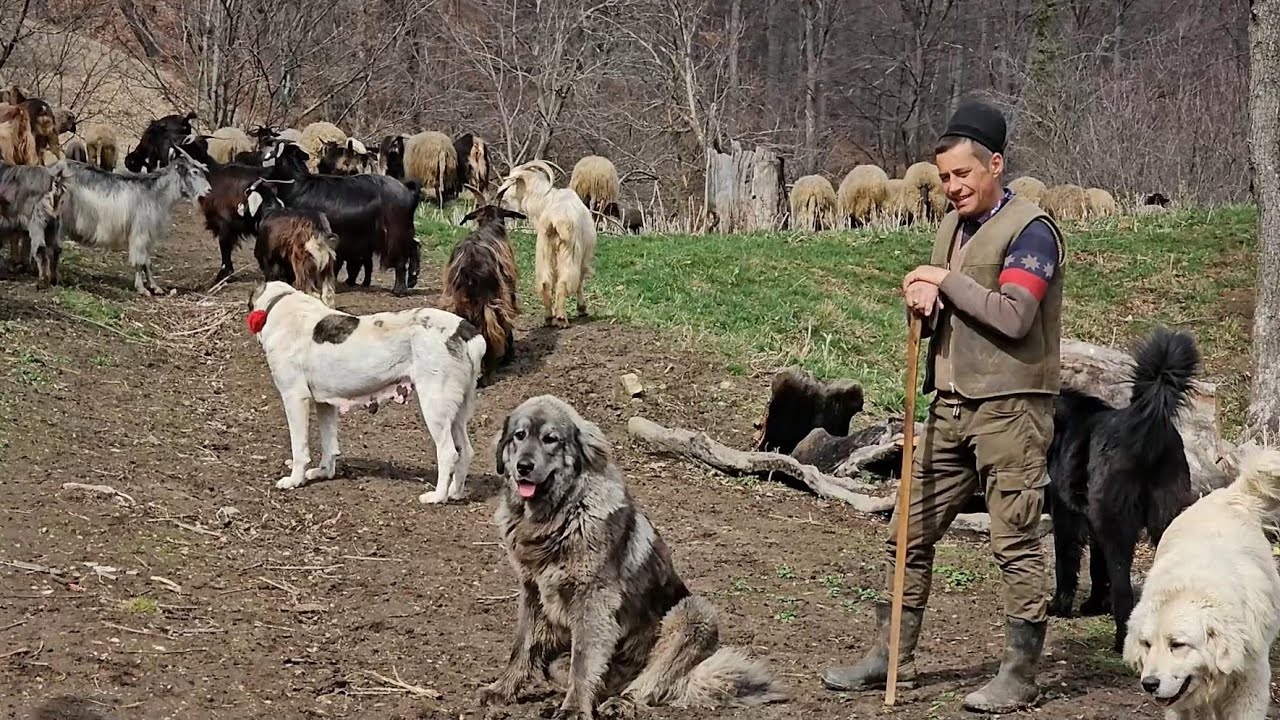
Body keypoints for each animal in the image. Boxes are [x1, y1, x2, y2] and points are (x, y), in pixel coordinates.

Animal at [59, 150, 212, 296]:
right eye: (194, 171)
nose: (209, 190)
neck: (156, 193)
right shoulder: (140, 232)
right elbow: (139, 260)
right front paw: (142, 288)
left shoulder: (149, 234)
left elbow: (148, 261)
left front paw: (155, 287)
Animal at [235, 177, 338, 306]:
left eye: (247, 193)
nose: (239, 207)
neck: (270, 210)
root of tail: (318, 229)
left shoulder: (268, 261)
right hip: (326, 268)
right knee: (328, 295)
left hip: (302, 265)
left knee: (311, 293)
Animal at [261, 142, 422, 295]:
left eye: (271, 154)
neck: (298, 185)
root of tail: (407, 189)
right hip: (403, 230)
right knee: (414, 246)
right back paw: (412, 279)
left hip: (395, 232)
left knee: (402, 258)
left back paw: (400, 289)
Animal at [494, 159, 596, 328]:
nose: (500, 196)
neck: (546, 199)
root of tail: (554, 220)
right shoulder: (583, 257)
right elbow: (580, 281)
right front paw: (582, 309)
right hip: (569, 251)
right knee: (564, 281)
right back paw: (561, 317)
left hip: (544, 249)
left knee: (545, 282)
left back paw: (549, 317)